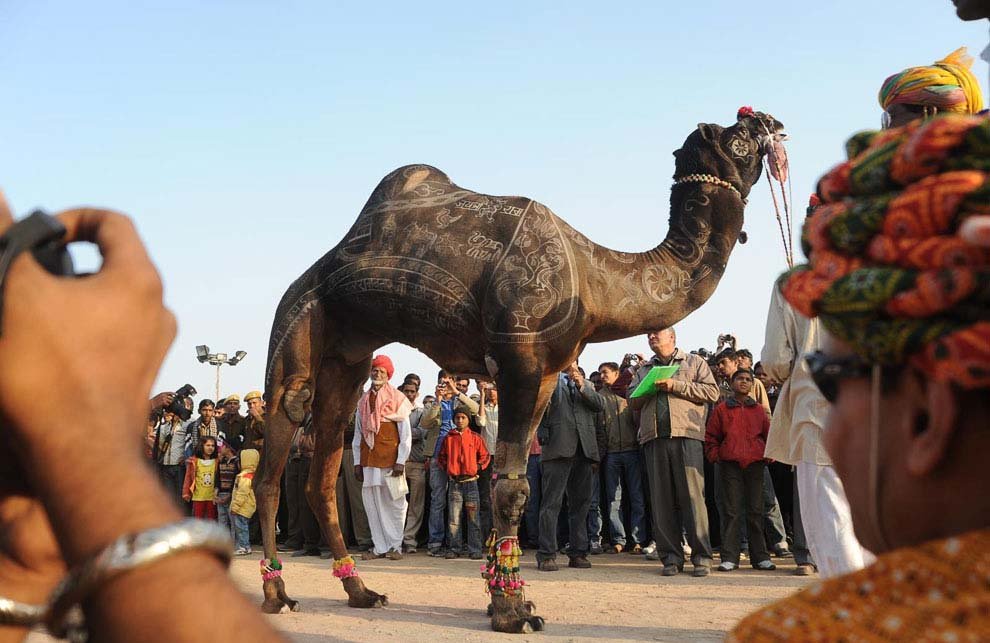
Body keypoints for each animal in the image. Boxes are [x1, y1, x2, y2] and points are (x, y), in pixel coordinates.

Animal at [260, 109, 788, 632]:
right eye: (739, 135)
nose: (775, 123)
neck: (595, 280)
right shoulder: (520, 361)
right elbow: (512, 489)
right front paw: (512, 609)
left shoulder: (548, 375)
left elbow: (513, 480)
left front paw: (506, 598)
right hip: (300, 315)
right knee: (279, 440)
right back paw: (277, 593)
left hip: (349, 357)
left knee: (321, 468)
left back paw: (360, 590)